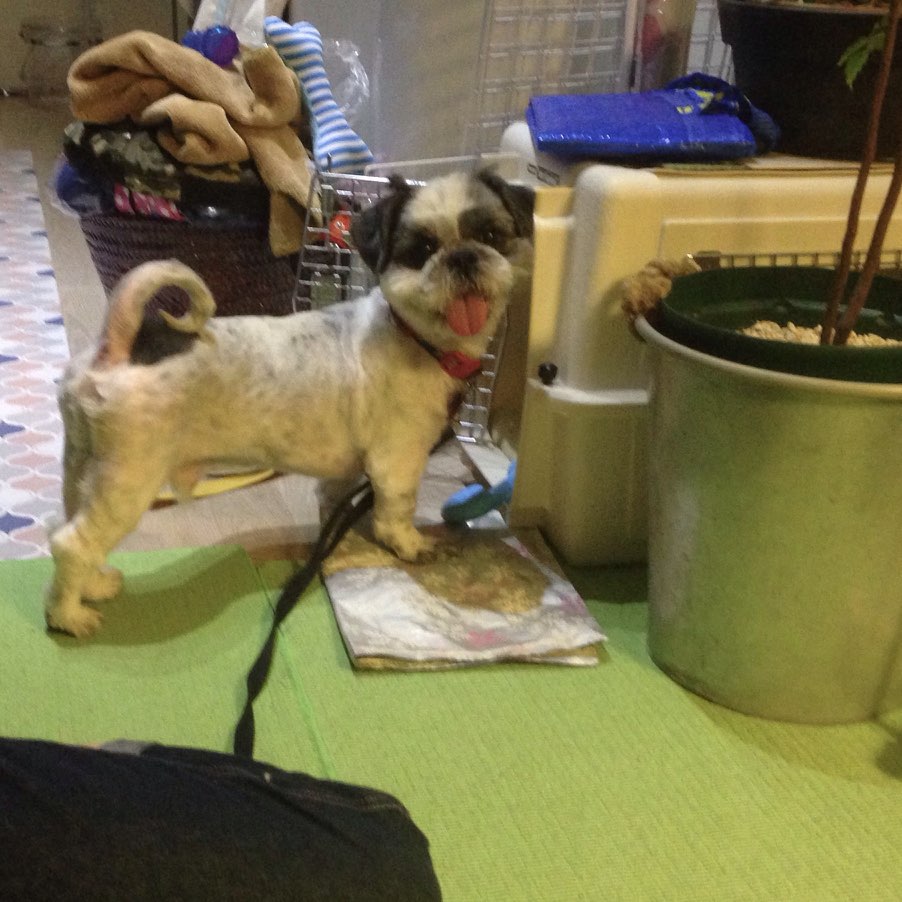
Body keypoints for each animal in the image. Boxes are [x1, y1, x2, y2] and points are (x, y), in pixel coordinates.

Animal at [45, 170, 534, 637]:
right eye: (422, 249)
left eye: (491, 235)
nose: (463, 256)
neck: (418, 338)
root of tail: (119, 349)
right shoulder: (398, 460)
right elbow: (397, 511)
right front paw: (408, 544)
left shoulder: (347, 473)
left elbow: (335, 503)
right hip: (129, 480)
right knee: (72, 544)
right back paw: (69, 616)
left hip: (83, 471)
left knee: (67, 531)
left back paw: (92, 585)